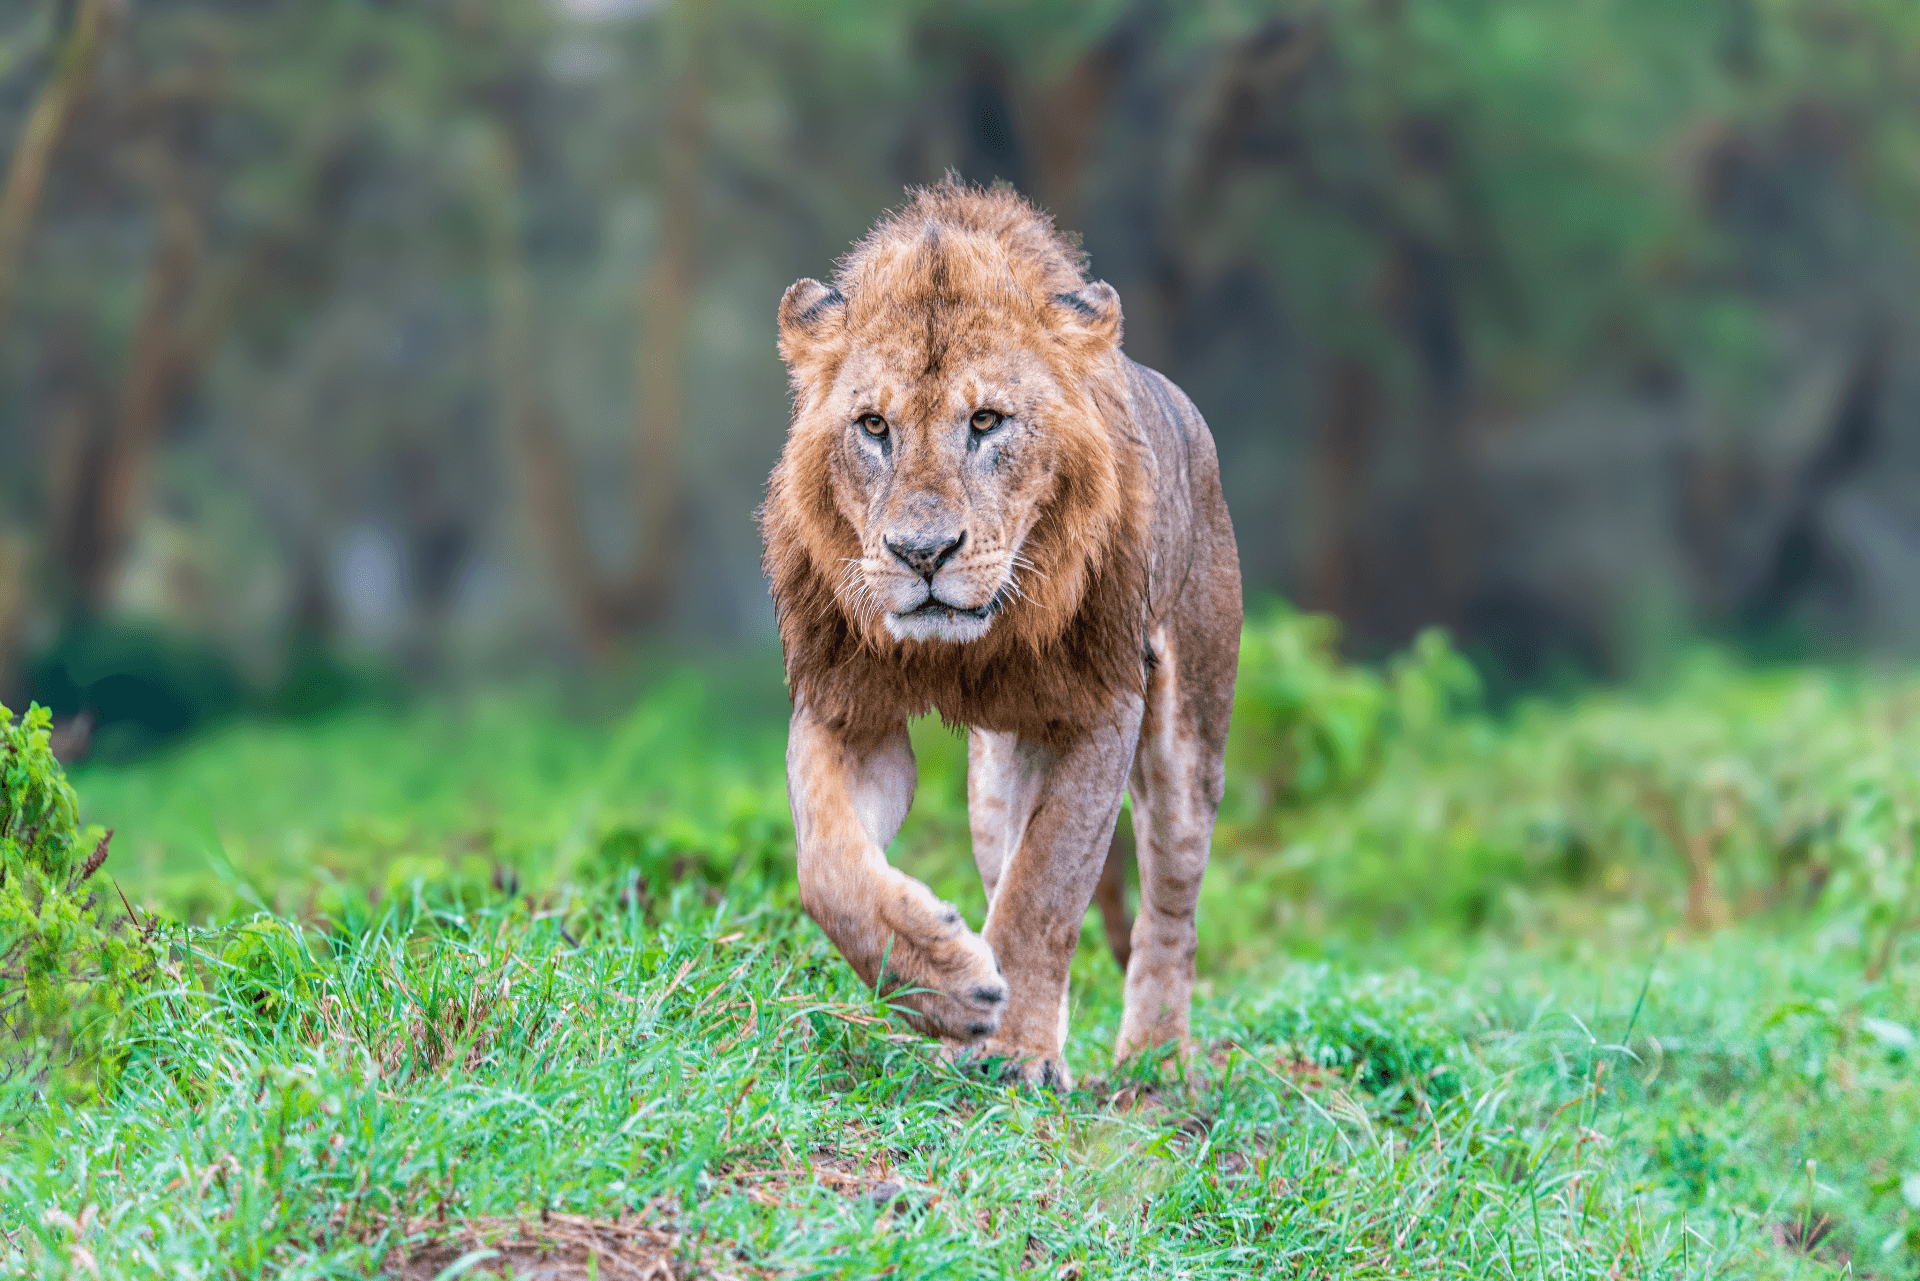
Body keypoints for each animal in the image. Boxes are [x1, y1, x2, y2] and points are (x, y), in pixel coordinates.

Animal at [760, 179, 1241, 1087]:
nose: (922, 552)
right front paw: (945, 982)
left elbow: (1046, 886)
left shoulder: (1103, 705)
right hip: (993, 778)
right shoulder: (848, 706)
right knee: (999, 857)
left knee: (1171, 903)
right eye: (873, 426)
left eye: (986, 421)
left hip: (1190, 726)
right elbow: (828, 866)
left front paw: (1015, 1050)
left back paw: (1155, 1063)